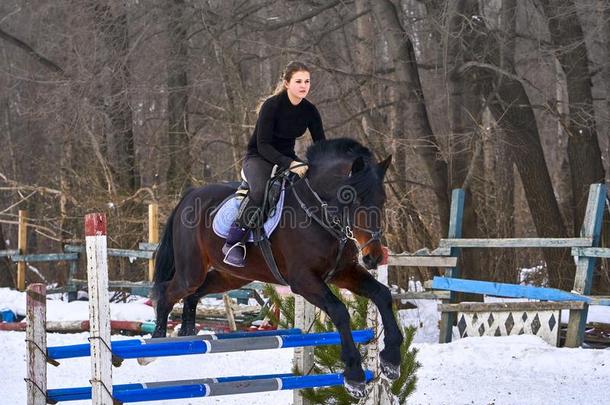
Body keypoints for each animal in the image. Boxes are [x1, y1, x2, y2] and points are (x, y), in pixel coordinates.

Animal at [150, 137, 402, 396]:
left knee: (194, 295)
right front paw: (354, 375)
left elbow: (382, 294)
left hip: (232, 276)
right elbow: (339, 310)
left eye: (381, 200)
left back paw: (186, 336)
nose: (373, 257)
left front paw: (391, 361)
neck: (320, 213)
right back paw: (155, 347)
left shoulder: (343, 273)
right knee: (168, 294)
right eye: (353, 198)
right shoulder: (303, 281)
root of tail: (190, 196)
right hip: (191, 272)